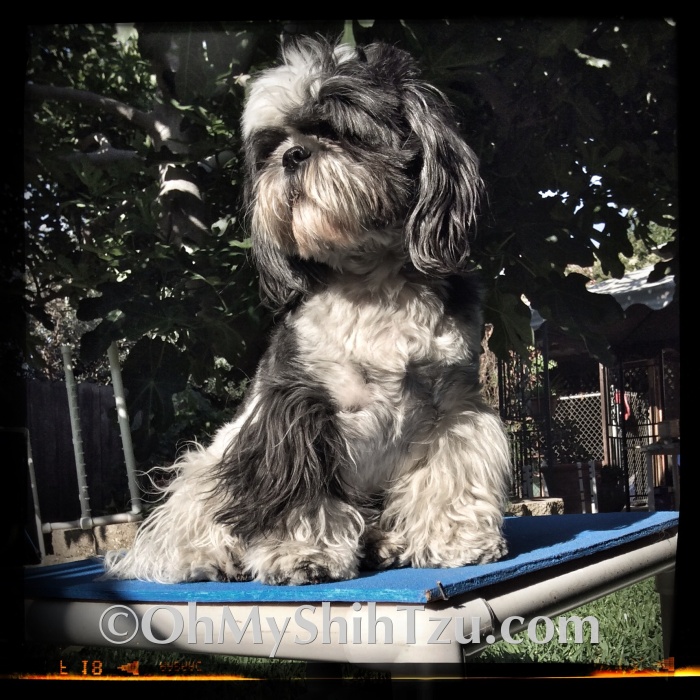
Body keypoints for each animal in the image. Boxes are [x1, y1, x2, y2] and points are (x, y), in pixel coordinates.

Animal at [102, 37, 508, 584]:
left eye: (339, 130)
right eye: (272, 144)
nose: (292, 155)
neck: (373, 287)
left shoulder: (454, 407)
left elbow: (451, 475)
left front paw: (459, 540)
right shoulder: (297, 409)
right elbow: (301, 495)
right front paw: (301, 552)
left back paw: (383, 542)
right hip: (211, 463)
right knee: (189, 521)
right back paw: (199, 558)